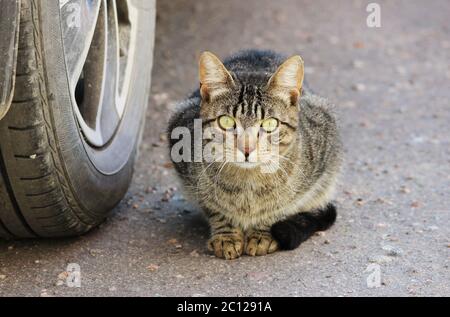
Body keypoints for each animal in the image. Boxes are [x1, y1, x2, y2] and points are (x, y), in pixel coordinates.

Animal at [168, 48, 342, 256]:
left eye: (270, 124)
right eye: (226, 121)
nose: (246, 148)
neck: (248, 183)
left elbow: (280, 206)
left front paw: (262, 233)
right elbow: (214, 208)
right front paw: (226, 235)